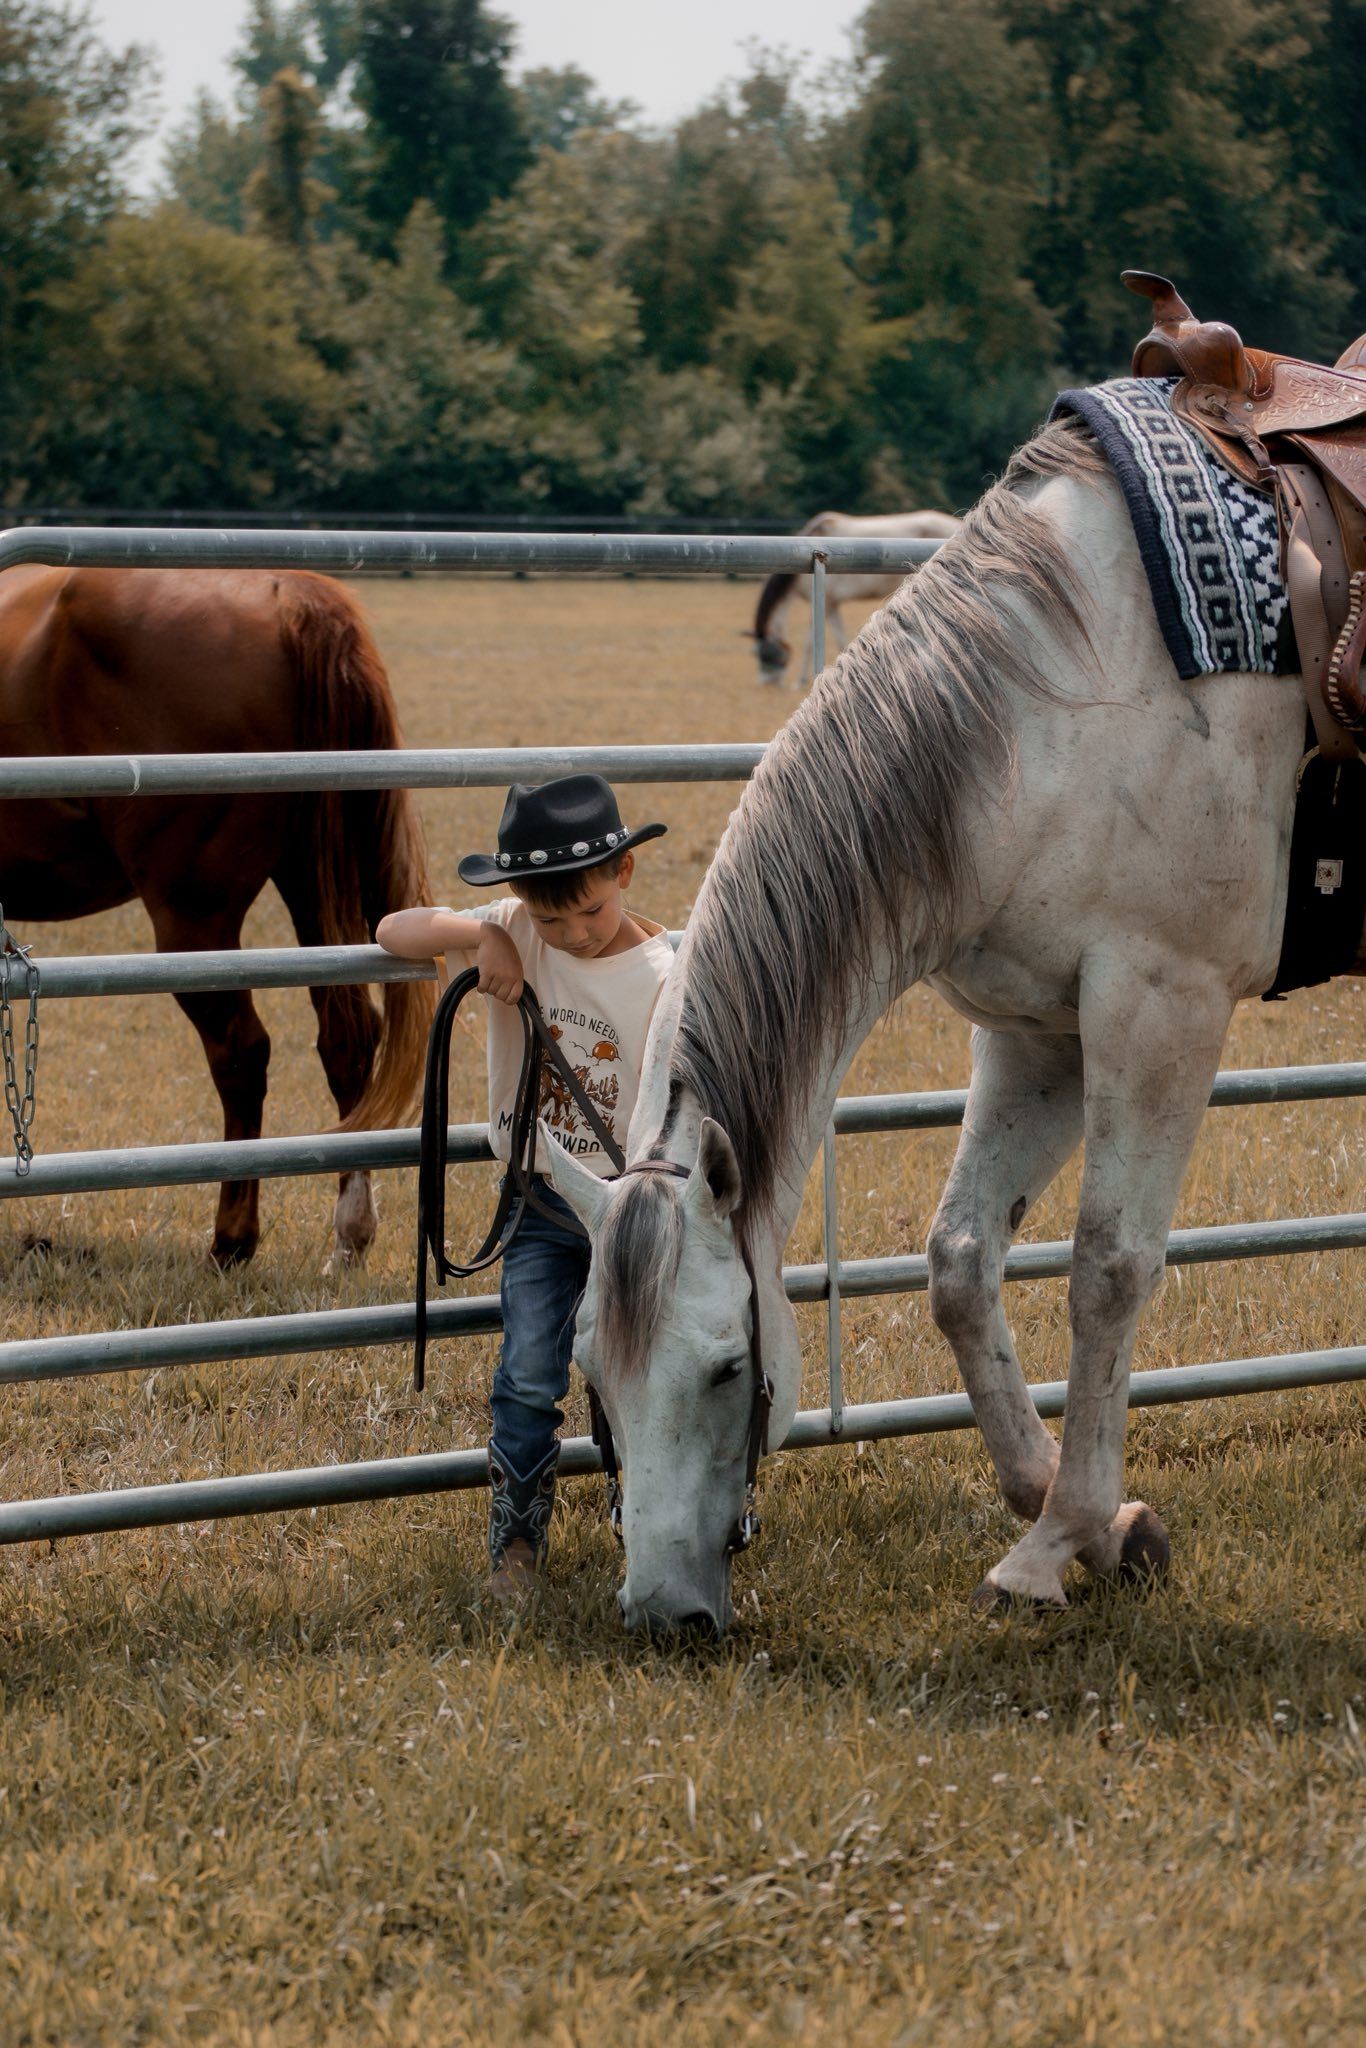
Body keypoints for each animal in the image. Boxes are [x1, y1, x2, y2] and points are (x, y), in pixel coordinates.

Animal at [0, 565, 433, 1268]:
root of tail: (288, 597)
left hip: (195, 923)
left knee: (241, 1052)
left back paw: (233, 1236)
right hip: (314, 881)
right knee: (347, 1037)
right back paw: (350, 1232)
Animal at [750, 509, 962, 686]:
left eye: (766, 655)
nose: (766, 684)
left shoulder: (826, 603)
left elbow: (809, 642)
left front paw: (800, 681)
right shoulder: (832, 605)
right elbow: (839, 637)